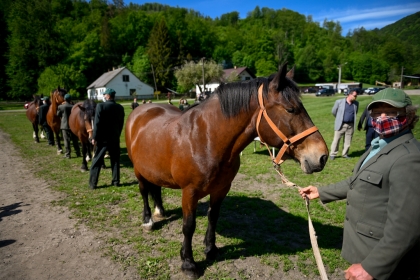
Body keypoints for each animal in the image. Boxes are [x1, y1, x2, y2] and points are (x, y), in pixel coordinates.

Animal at [124, 64, 328, 278]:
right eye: (290, 109)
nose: (322, 156)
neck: (206, 139)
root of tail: (141, 110)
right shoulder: (189, 192)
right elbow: (188, 226)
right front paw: (188, 263)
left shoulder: (221, 188)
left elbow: (213, 217)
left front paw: (211, 249)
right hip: (139, 171)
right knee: (144, 192)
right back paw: (148, 220)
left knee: (155, 189)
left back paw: (160, 212)